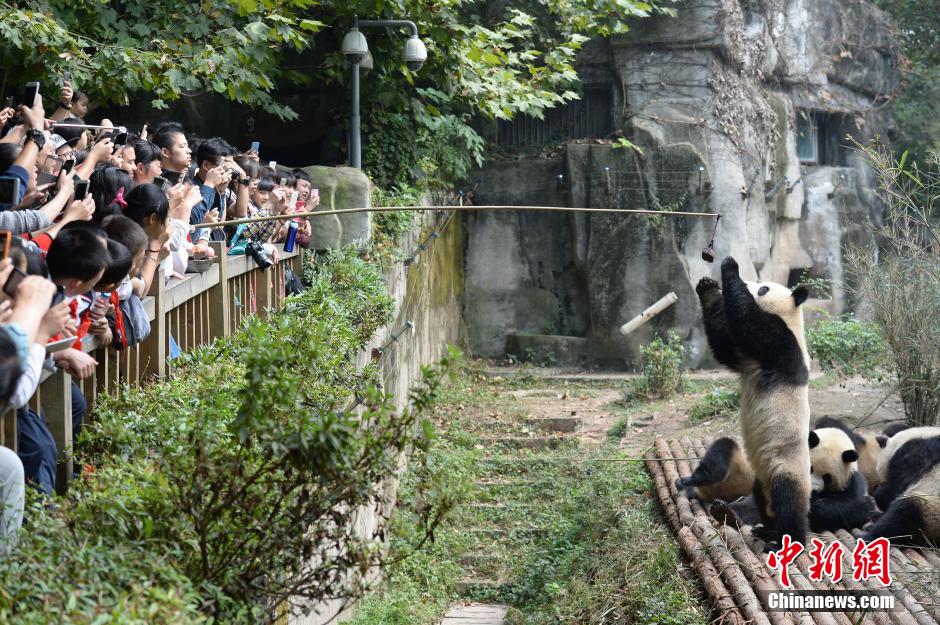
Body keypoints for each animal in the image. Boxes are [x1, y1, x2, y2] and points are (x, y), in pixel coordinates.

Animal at [692, 256, 812, 544]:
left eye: (764, 288)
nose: (749, 283)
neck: (792, 318)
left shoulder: (783, 344)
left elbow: (748, 322)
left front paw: (729, 266)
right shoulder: (746, 359)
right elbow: (724, 344)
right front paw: (707, 288)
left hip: (787, 465)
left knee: (788, 501)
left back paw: (788, 539)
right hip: (760, 477)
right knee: (762, 501)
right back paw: (765, 529)